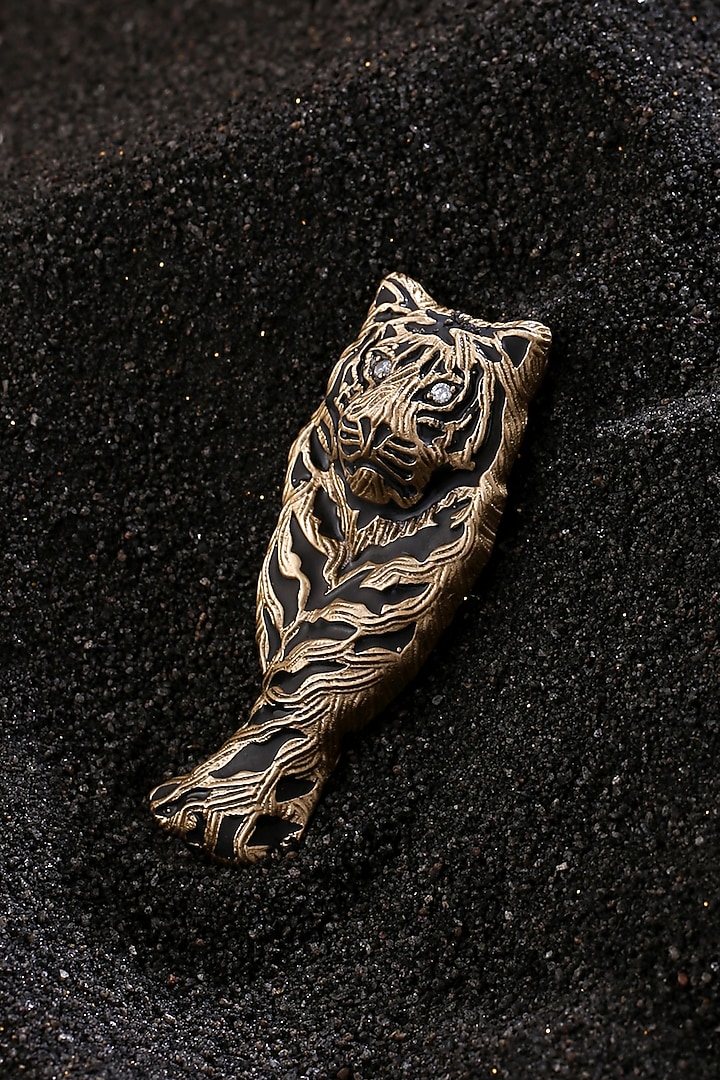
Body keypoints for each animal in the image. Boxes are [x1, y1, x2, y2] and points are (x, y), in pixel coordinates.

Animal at [149, 273, 551, 865]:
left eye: (439, 394)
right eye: (379, 366)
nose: (375, 425)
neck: (367, 516)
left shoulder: (399, 588)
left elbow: (300, 694)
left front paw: (224, 818)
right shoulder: (298, 557)